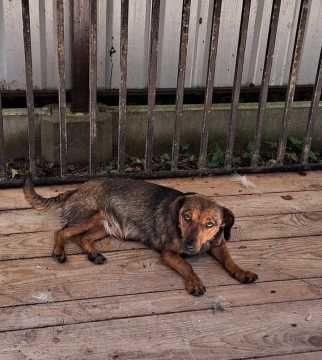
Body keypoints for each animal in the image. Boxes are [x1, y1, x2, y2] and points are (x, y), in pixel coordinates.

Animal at [23, 176, 258, 296]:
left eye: (210, 224)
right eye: (186, 217)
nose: (190, 246)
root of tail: (75, 189)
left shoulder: (218, 244)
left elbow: (229, 259)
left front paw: (242, 272)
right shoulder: (169, 254)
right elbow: (187, 266)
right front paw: (194, 281)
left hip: (104, 226)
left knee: (83, 239)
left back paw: (94, 255)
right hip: (88, 218)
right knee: (62, 231)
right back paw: (59, 251)